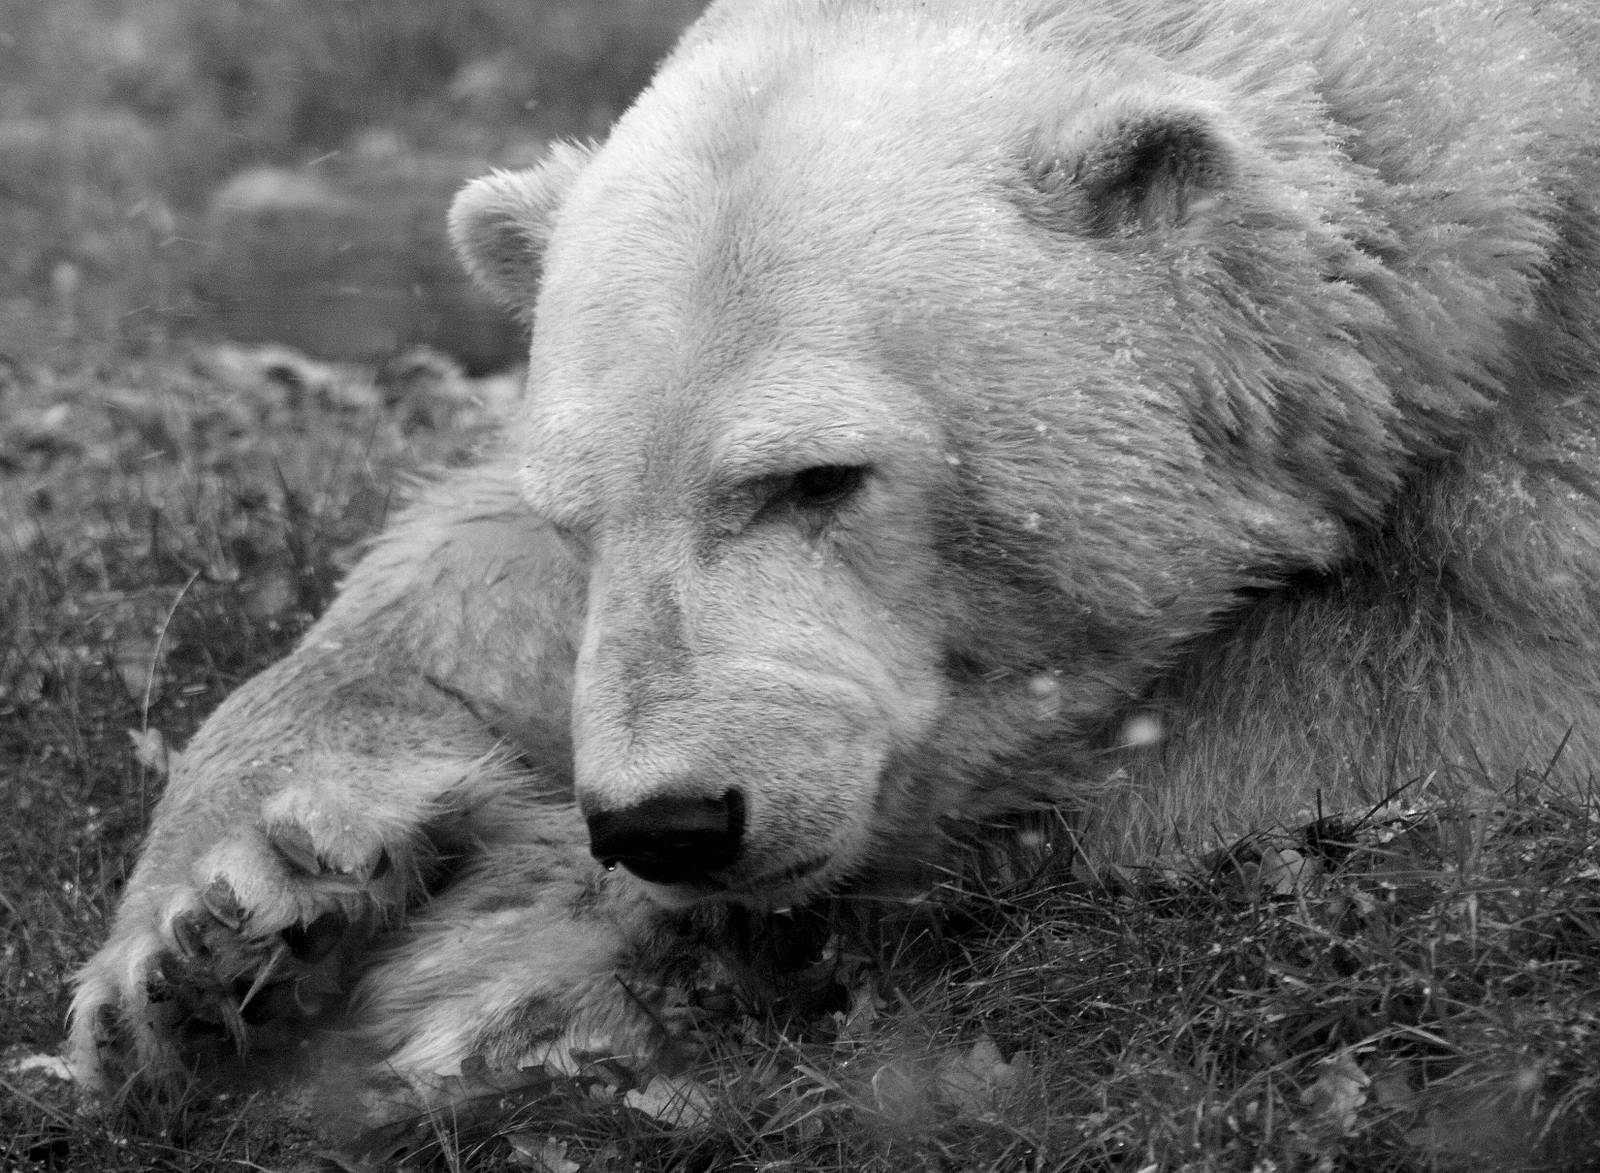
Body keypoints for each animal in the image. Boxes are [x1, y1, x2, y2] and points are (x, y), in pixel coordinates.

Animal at [70, 0, 1600, 1131]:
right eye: (580, 514)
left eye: (817, 478)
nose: (669, 821)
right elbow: (458, 568)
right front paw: (234, 931)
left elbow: (1418, 682)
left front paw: (527, 974)